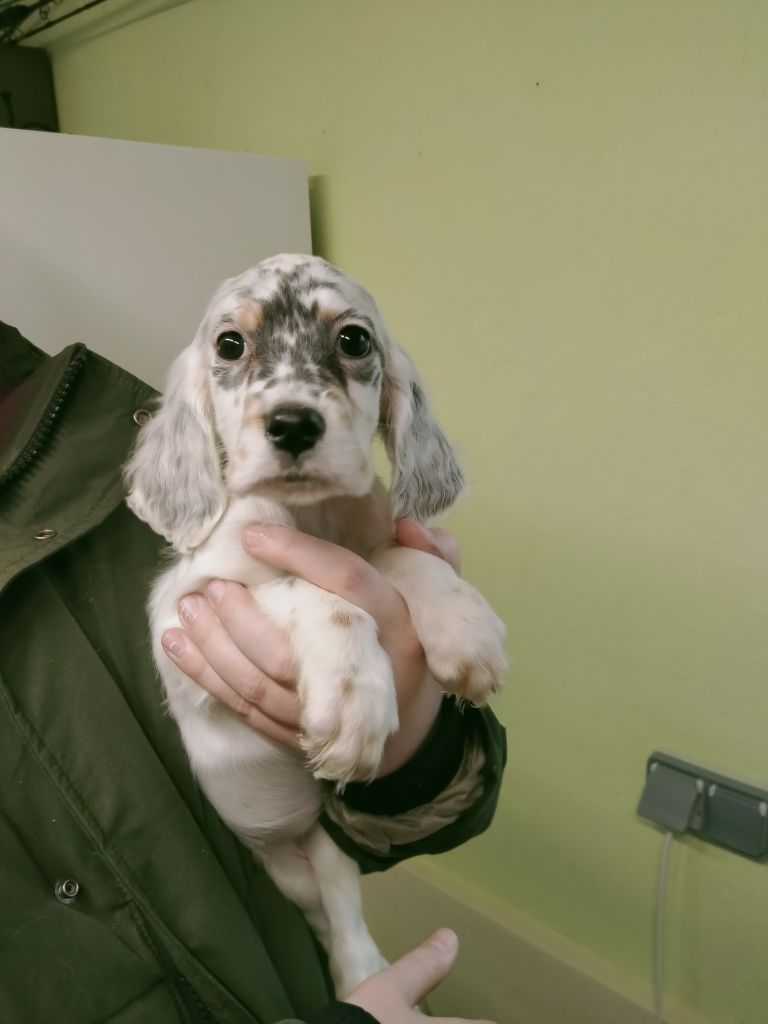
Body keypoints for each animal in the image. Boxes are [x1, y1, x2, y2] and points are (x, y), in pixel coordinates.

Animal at [125, 251, 507, 995]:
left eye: (354, 339)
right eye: (230, 344)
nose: (293, 425)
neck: (312, 517)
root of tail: (285, 839)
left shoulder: (374, 539)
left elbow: (395, 558)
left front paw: (464, 623)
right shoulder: (184, 609)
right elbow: (314, 588)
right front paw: (354, 698)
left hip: (329, 848)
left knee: (346, 923)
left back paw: (366, 976)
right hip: (292, 870)